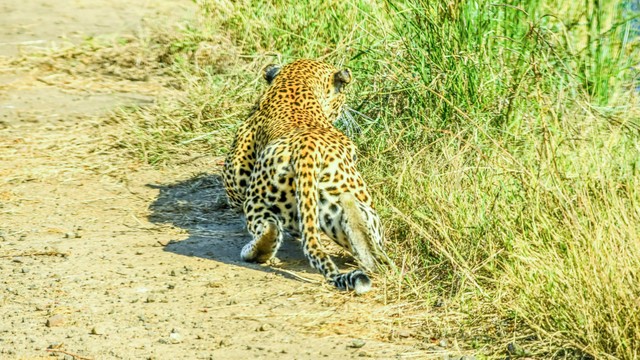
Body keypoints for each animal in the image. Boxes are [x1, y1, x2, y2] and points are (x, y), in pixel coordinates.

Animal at [222, 59, 388, 294]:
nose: (346, 105)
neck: (293, 83)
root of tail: (307, 152)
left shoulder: (235, 186)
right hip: (344, 205)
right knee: (368, 247)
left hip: (257, 199)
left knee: (270, 228)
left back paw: (254, 251)